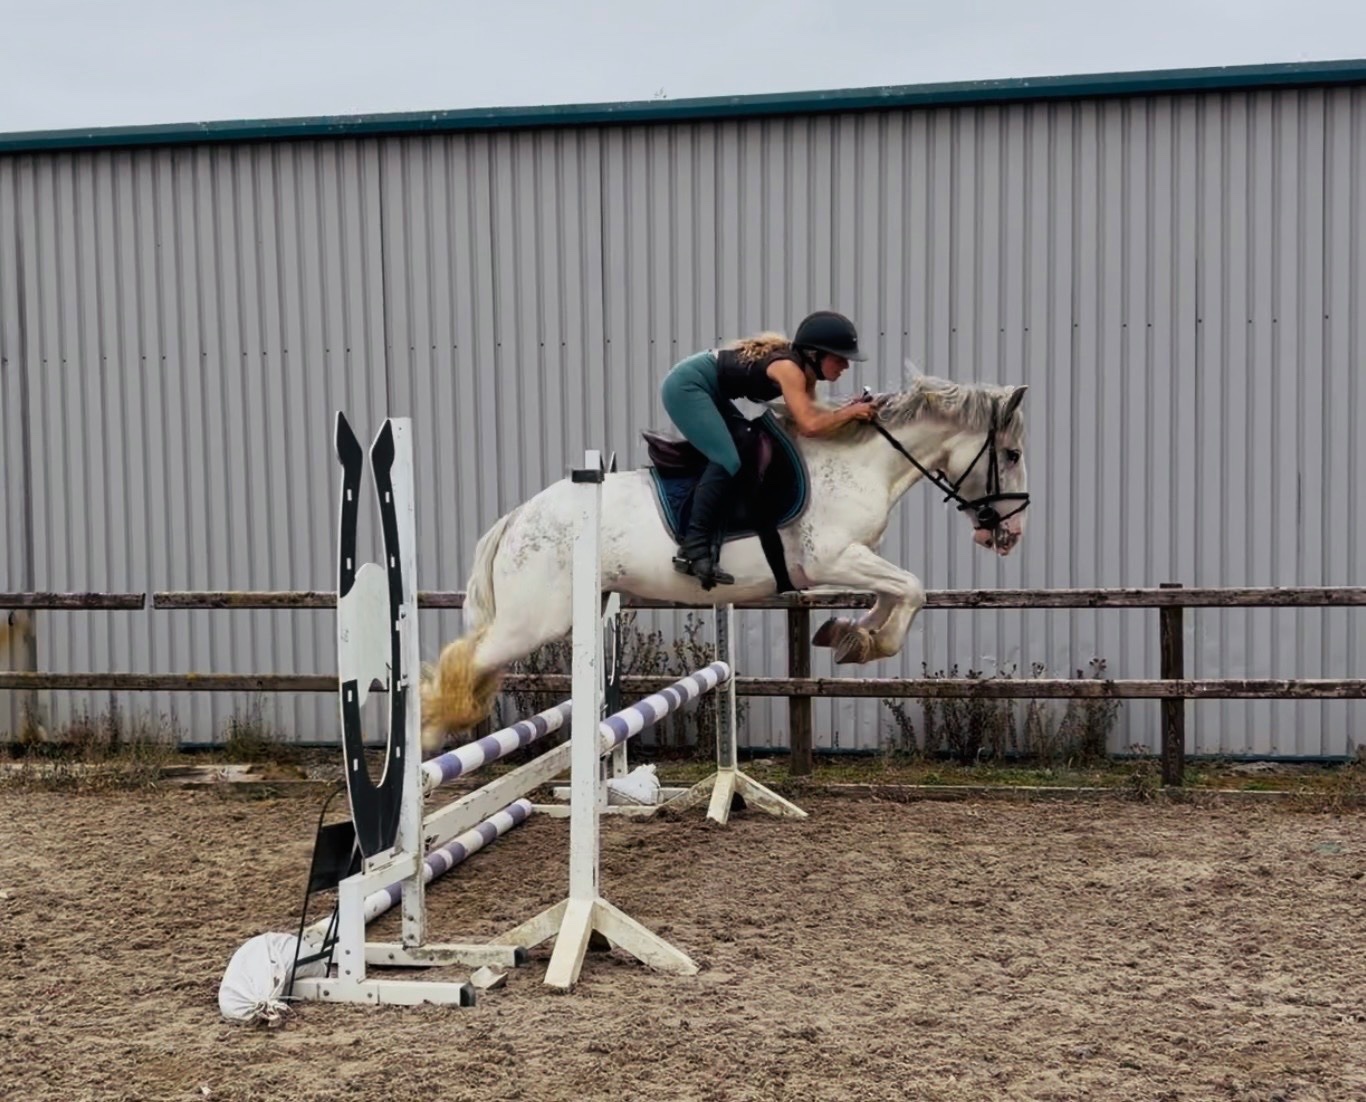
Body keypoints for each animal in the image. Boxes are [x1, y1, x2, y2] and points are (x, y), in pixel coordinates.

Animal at [419, 372, 1030, 751]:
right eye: (1013, 454)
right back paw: (426, 744)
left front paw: (848, 635)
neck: (863, 461)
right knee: (462, 661)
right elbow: (912, 588)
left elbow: (894, 593)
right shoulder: (830, 559)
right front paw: (866, 641)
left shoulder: (854, 559)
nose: (1011, 534)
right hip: (535, 619)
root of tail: (518, 517)